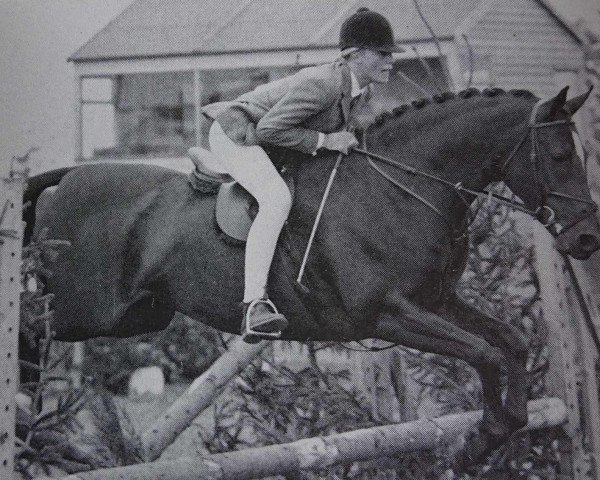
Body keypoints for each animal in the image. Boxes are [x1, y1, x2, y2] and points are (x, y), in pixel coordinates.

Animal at [22, 85, 600, 464]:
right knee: (30, 328)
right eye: (557, 155)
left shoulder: (436, 301)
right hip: (87, 309)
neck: (400, 188)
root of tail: (67, 177)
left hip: (141, 315)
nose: (585, 240)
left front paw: (495, 431)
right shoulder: (387, 315)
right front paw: (482, 437)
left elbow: (510, 343)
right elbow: (484, 352)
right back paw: (30, 420)